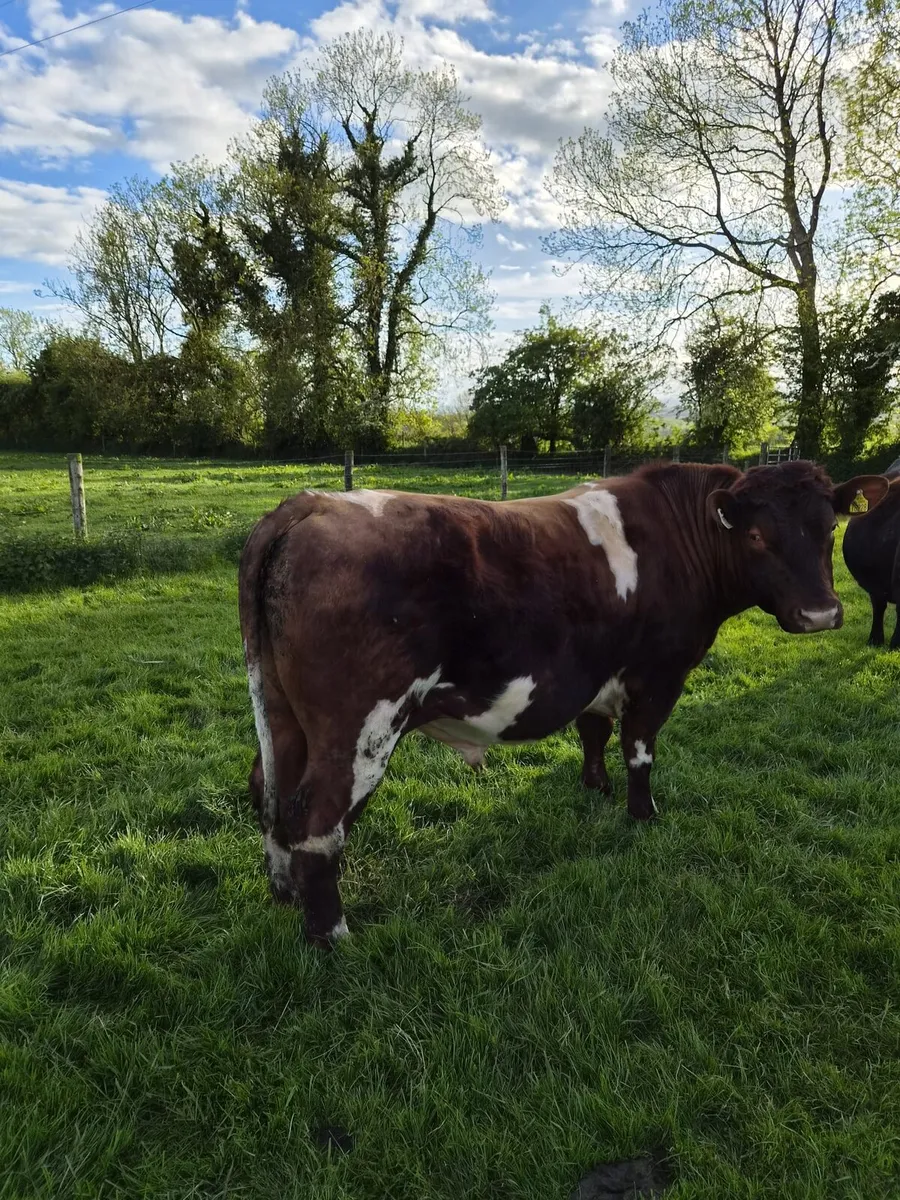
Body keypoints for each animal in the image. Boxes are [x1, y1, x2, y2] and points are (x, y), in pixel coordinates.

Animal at [238, 460, 889, 947]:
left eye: (829, 529)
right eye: (756, 536)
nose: (820, 614)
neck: (678, 535)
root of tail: (314, 503)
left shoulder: (600, 672)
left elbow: (594, 731)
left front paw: (595, 788)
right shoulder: (659, 675)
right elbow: (639, 749)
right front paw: (642, 814)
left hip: (284, 715)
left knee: (268, 790)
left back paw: (284, 893)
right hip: (360, 727)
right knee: (318, 819)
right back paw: (332, 934)